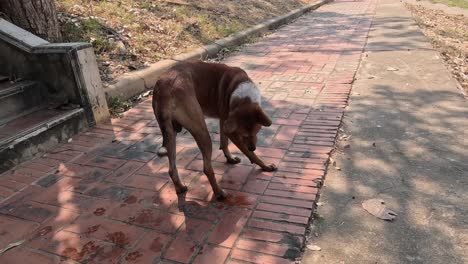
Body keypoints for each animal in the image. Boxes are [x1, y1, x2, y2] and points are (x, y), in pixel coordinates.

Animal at [154, 60, 276, 199]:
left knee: (171, 169)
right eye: (244, 135)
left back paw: (180, 188)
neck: (241, 95)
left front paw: (230, 158)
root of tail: (165, 89)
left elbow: (224, 142)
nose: (253, 147)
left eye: (257, 132)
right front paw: (265, 166)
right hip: (202, 132)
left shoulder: (224, 122)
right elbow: (249, 153)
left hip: (170, 133)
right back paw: (219, 193)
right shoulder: (232, 132)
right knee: (207, 168)